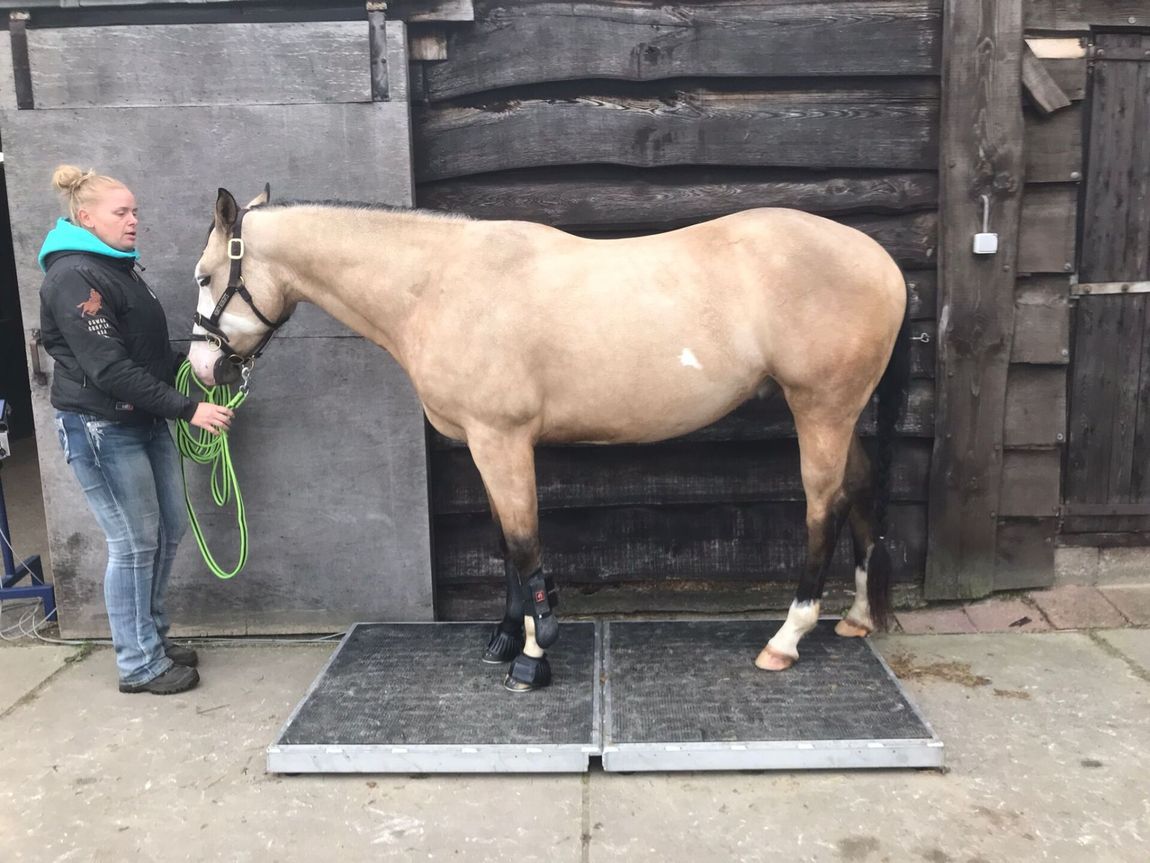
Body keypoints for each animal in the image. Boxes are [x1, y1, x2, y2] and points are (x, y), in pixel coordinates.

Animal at [188, 187, 909, 693]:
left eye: (202, 276)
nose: (202, 368)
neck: (441, 282)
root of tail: (883, 262)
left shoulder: (502, 439)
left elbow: (525, 544)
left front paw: (532, 659)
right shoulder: (486, 444)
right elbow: (506, 545)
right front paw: (506, 638)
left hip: (820, 408)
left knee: (823, 506)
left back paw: (786, 638)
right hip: (840, 412)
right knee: (861, 488)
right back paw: (857, 615)